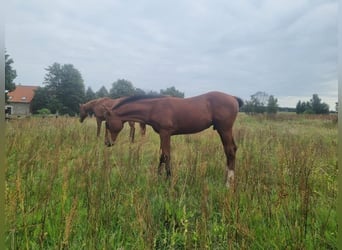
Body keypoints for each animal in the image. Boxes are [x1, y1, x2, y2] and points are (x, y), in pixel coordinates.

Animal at [104, 91, 243, 188]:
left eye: (107, 124)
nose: (107, 143)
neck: (154, 107)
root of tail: (233, 97)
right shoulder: (163, 134)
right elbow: (162, 155)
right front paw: (158, 178)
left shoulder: (165, 133)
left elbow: (166, 155)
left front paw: (168, 180)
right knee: (231, 150)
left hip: (224, 129)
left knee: (230, 151)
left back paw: (228, 184)